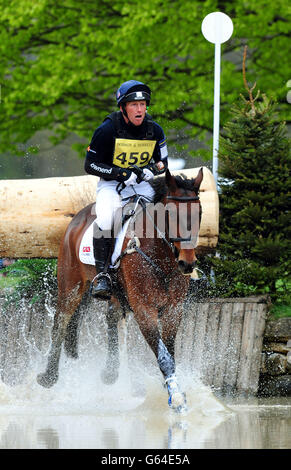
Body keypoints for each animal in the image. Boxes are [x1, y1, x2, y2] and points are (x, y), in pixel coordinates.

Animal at [37, 168, 203, 412]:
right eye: (170, 215)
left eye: (199, 213)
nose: (187, 264)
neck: (159, 254)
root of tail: (78, 217)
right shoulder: (144, 310)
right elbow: (163, 356)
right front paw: (176, 398)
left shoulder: (173, 310)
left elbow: (170, 352)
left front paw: (170, 388)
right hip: (71, 285)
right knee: (61, 321)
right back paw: (48, 377)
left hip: (115, 292)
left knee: (111, 316)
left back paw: (110, 372)